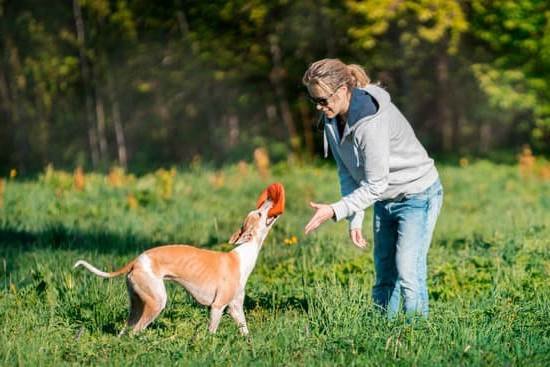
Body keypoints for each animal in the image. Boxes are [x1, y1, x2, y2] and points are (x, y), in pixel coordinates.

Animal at [74, 184, 284, 336]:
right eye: (259, 213)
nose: (270, 198)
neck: (242, 255)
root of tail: (136, 261)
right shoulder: (217, 307)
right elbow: (211, 333)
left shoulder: (235, 308)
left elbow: (245, 332)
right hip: (156, 302)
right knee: (135, 331)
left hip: (137, 304)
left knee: (125, 330)